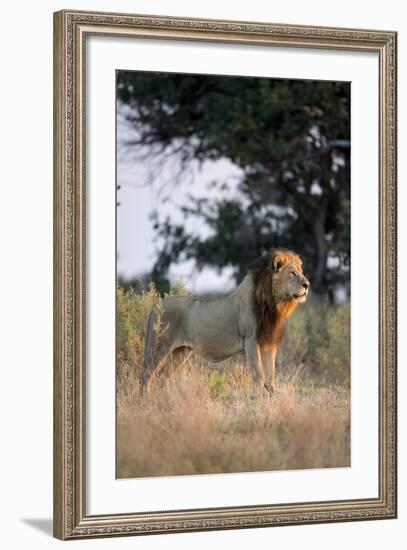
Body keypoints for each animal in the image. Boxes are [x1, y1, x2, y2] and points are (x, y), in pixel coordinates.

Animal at [142, 250, 310, 396]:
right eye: (293, 273)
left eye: (301, 272)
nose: (307, 285)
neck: (275, 304)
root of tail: (155, 306)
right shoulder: (251, 341)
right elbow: (258, 375)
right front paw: (257, 398)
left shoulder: (269, 343)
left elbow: (270, 377)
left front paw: (271, 398)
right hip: (158, 348)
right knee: (146, 375)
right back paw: (147, 400)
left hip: (181, 352)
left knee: (163, 377)